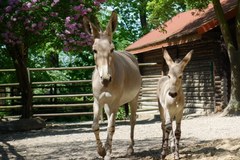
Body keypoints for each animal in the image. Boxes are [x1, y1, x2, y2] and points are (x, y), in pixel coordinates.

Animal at [83, 11, 142, 159]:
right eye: (94, 50)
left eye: (112, 49)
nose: (105, 79)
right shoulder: (98, 101)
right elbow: (95, 126)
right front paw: (102, 151)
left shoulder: (115, 103)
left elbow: (111, 127)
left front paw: (106, 152)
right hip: (107, 105)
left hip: (133, 99)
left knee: (132, 121)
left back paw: (130, 148)